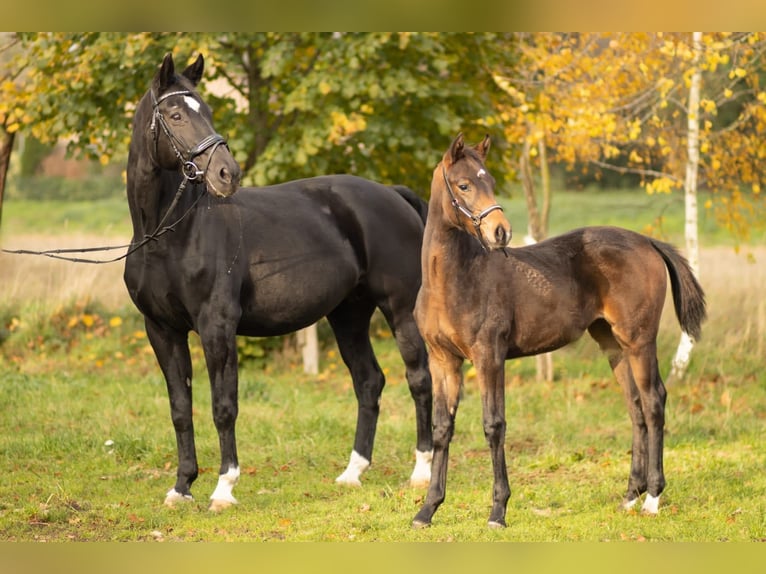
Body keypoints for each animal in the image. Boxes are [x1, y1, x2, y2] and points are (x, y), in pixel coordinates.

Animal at [124, 55, 432, 512]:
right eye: (176, 115)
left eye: (208, 111)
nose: (226, 173)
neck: (168, 235)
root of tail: (393, 194)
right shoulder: (161, 330)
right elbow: (180, 408)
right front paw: (181, 487)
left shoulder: (217, 327)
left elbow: (223, 406)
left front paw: (224, 488)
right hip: (348, 315)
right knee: (369, 381)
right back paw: (352, 473)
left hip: (400, 308)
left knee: (420, 378)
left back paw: (422, 472)